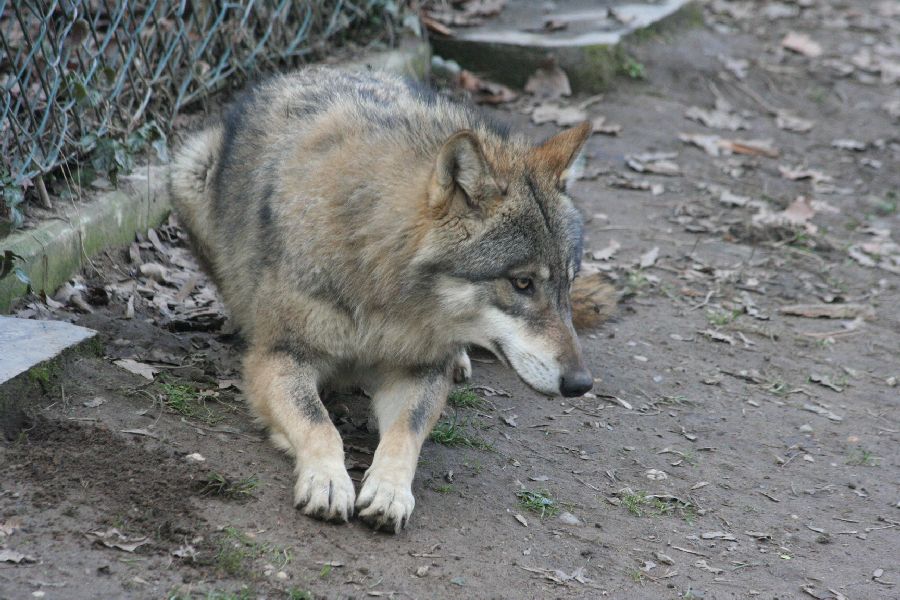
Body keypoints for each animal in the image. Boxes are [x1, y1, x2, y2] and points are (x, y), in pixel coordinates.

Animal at [168, 67, 614, 533]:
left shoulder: (417, 372)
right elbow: (319, 423)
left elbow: (405, 435)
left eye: (567, 284)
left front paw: (389, 491)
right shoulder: (278, 357)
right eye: (523, 283)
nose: (581, 385)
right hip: (188, 170)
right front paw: (328, 480)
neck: (384, 289)